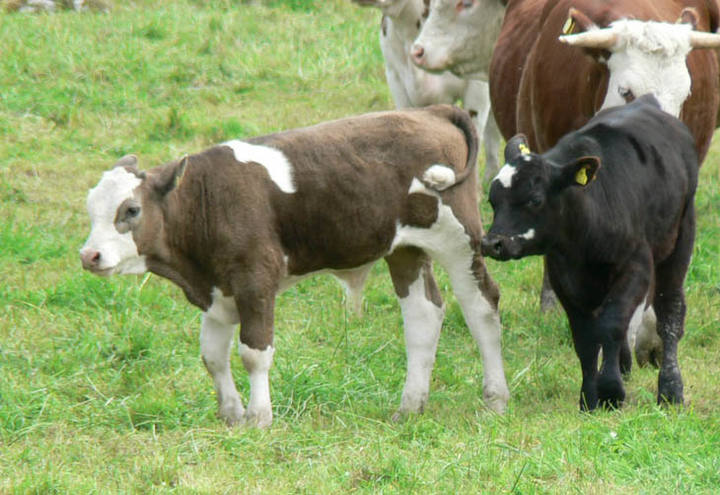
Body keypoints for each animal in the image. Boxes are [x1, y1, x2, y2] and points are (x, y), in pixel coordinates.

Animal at [80, 105, 512, 430]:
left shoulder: (256, 280)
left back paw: (495, 397)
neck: (209, 199)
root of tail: (431, 111)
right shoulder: (218, 290)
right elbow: (212, 356)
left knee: (481, 308)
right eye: (91, 209)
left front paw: (258, 417)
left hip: (459, 240)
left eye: (131, 210)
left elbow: (253, 352)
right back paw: (410, 406)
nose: (89, 256)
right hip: (405, 249)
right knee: (423, 316)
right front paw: (231, 414)